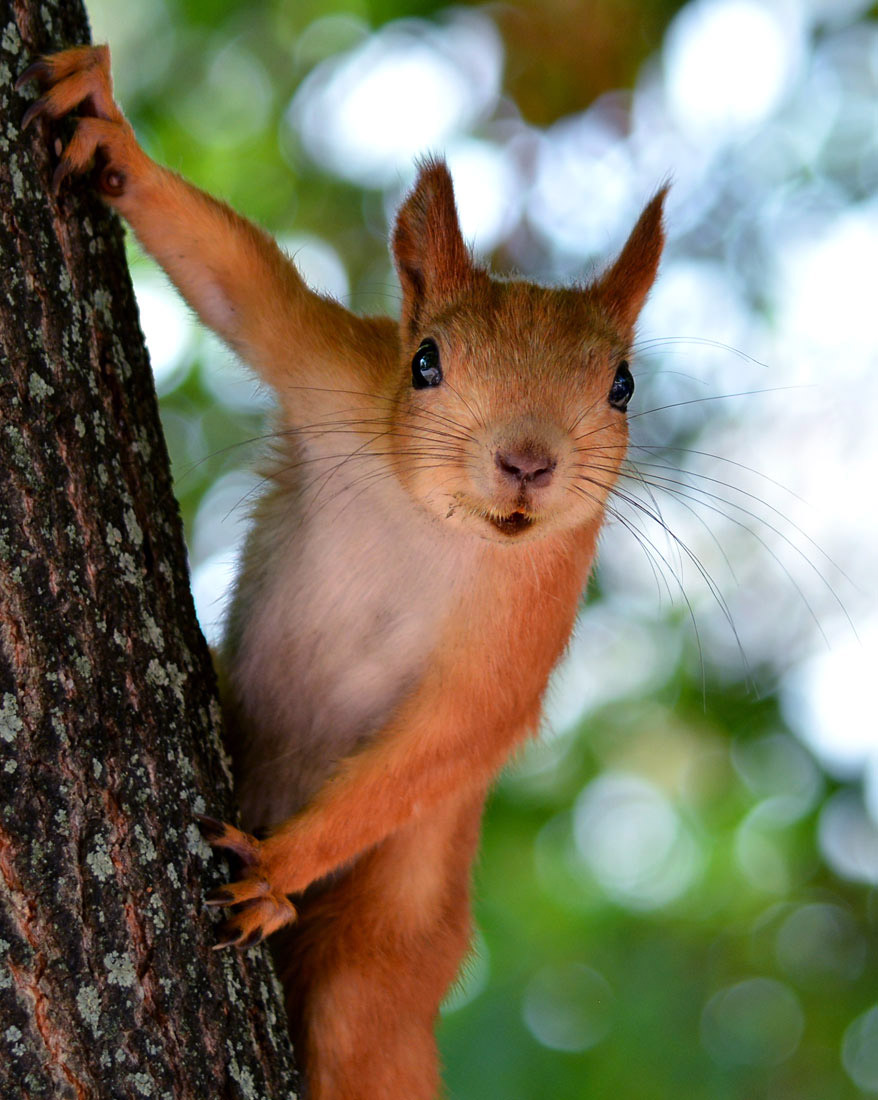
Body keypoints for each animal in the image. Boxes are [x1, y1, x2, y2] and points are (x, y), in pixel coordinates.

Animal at [20, 45, 668, 1100]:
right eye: (426, 362)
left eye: (622, 386)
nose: (527, 463)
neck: (432, 525)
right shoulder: (335, 377)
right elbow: (242, 286)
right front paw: (109, 131)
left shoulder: (535, 611)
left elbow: (457, 731)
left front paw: (278, 867)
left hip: (382, 957)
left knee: (353, 1023)